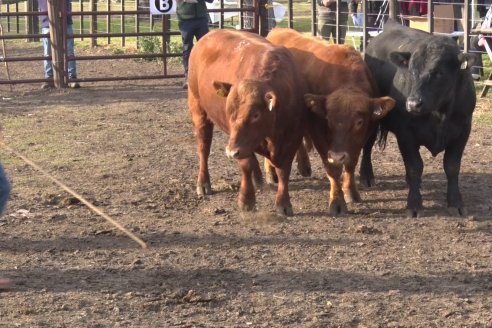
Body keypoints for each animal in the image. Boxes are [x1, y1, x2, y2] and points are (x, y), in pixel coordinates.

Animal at [362, 19, 476, 217]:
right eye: (411, 71)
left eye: (439, 72)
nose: (413, 104)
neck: (439, 113)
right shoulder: (406, 134)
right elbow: (415, 167)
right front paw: (414, 204)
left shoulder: (463, 130)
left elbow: (452, 167)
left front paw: (456, 202)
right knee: (367, 145)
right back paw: (366, 176)